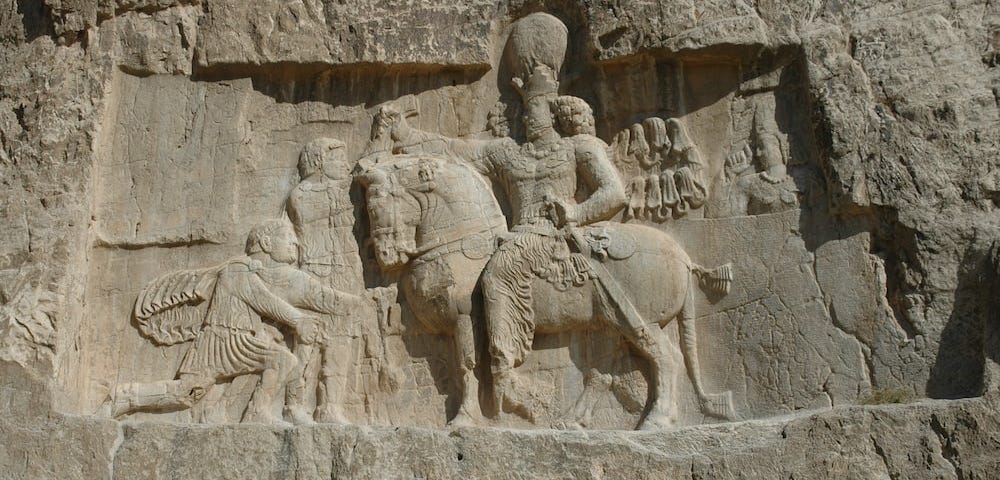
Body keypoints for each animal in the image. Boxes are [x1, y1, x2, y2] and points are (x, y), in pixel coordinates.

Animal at [356, 153, 732, 428]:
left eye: (377, 206)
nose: (385, 256)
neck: (462, 243)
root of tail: (682, 256)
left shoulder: (467, 317)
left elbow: (468, 364)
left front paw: (471, 417)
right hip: (609, 323)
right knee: (603, 373)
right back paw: (571, 422)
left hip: (639, 320)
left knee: (665, 359)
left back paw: (655, 420)